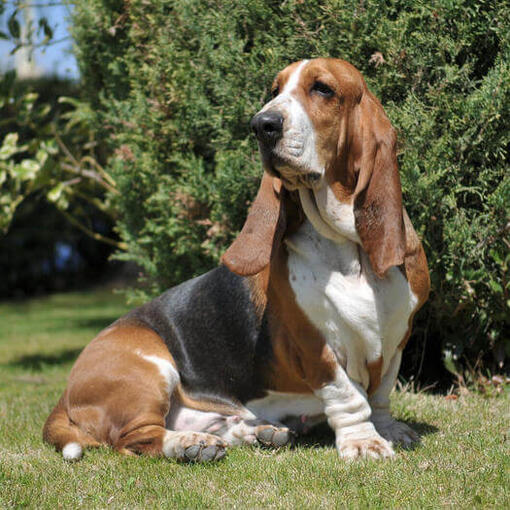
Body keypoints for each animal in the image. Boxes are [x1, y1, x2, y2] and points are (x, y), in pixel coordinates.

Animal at [43, 58, 428, 462]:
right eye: (274, 91)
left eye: (322, 88)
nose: (262, 125)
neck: (346, 249)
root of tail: (65, 394)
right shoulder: (316, 349)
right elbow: (349, 397)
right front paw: (364, 441)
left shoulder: (396, 340)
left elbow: (380, 395)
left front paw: (390, 431)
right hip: (152, 368)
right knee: (137, 438)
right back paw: (191, 445)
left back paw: (258, 433)